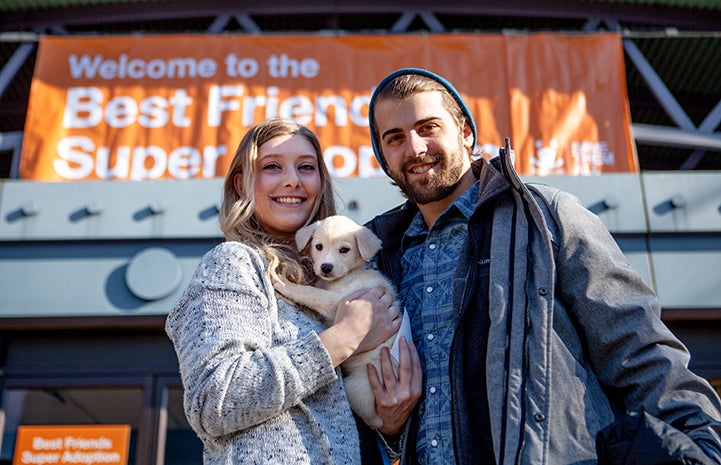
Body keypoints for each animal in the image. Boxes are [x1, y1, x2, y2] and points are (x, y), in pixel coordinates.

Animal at [274, 214, 400, 428]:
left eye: (344, 250)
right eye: (319, 246)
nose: (326, 267)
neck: (347, 276)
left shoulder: (336, 301)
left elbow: (310, 293)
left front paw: (283, 283)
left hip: (355, 387)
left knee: (373, 419)